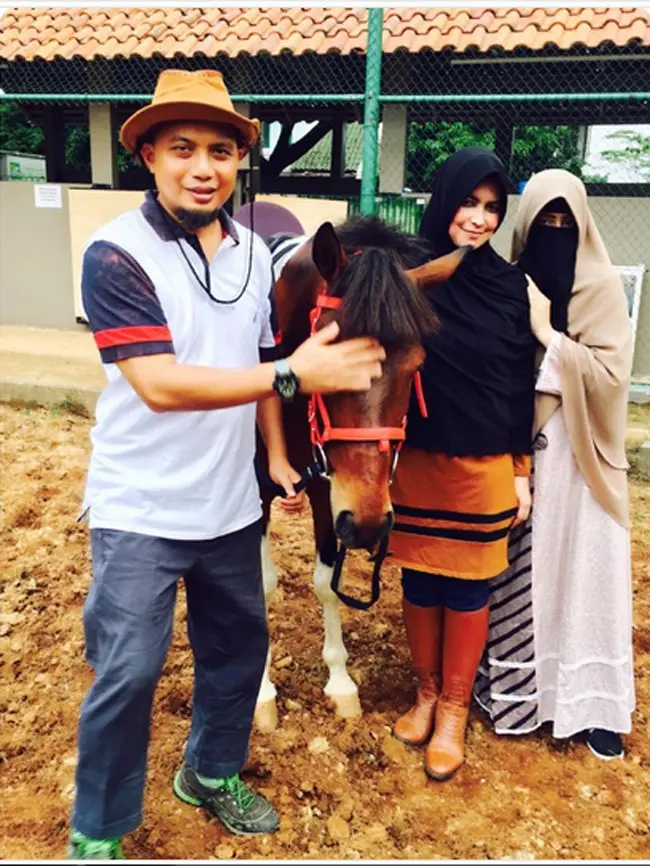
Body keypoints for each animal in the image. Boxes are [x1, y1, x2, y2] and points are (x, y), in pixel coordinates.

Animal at [251, 211, 464, 728]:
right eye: (329, 359)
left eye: (417, 363)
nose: (370, 523)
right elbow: (256, 590)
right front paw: (261, 692)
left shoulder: (331, 491)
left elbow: (326, 584)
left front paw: (340, 682)